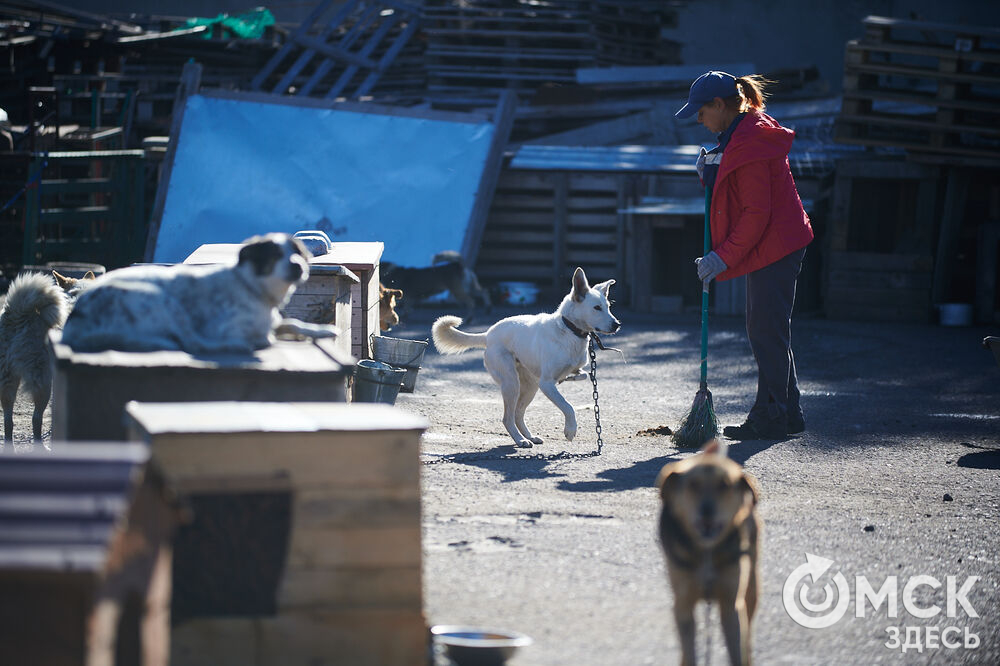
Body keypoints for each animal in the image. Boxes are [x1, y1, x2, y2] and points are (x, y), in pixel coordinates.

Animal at [60, 232, 338, 356]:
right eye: (274, 255)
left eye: (297, 253)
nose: (298, 266)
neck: (253, 290)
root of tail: (73, 325)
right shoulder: (228, 327)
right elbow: (266, 336)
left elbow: (294, 322)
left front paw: (324, 330)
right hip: (164, 302)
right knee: (192, 343)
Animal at [436, 264, 620, 446]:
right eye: (597, 308)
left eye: (608, 307)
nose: (617, 324)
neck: (569, 330)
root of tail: (488, 335)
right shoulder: (546, 384)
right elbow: (568, 406)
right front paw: (570, 430)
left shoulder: (565, 373)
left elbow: (582, 375)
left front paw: (569, 378)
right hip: (511, 384)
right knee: (508, 418)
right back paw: (520, 440)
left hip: (530, 386)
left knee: (518, 414)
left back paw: (529, 437)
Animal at [656, 436, 756, 664]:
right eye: (693, 485)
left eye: (724, 485)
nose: (707, 510)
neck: (706, 551)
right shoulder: (683, 603)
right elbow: (689, 649)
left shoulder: (731, 604)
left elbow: (737, 648)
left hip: (752, 586)